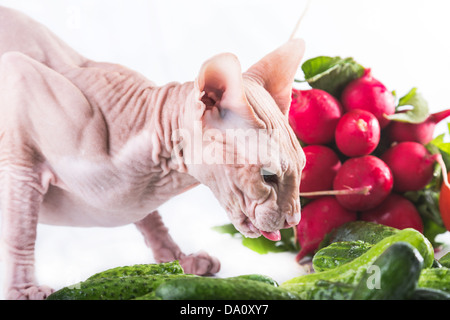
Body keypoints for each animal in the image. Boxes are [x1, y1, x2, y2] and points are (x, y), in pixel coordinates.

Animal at [0, 6, 306, 298]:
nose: (293, 220)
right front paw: (24, 290)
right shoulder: (20, 88)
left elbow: (153, 221)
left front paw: (179, 261)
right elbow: (21, 228)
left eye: (302, 167)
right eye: (267, 177)